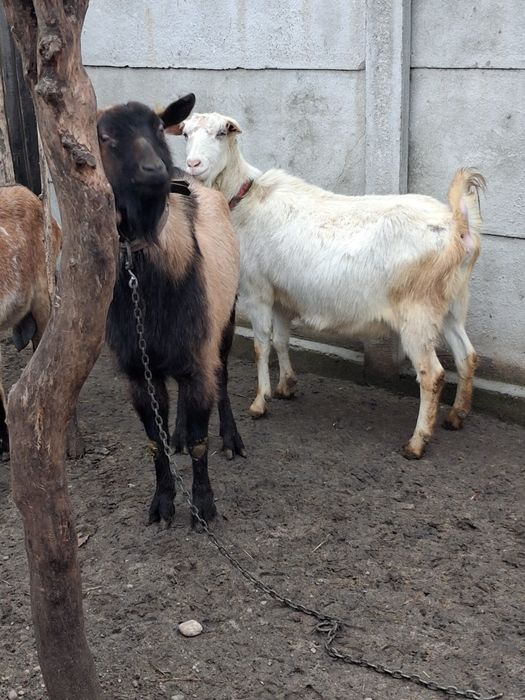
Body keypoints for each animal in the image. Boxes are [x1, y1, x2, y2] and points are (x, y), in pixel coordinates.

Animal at [97, 95, 245, 527]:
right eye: (105, 136)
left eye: (158, 128)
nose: (156, 172)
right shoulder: (136, 370)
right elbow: (153, 441)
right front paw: (162, 503)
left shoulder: (200, 356)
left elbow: (199, 442)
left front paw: (204, 508)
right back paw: (175, 432)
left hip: (225, 321)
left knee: (223, 377)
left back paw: (231, 438)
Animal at [175, 111, 484, 459]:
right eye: (185, 133)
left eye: (221, 133)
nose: (194, 164)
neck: (245, 201)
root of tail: (458, 226)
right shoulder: (282, 293)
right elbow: (282, 340)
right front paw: (286, 386)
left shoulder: (258, 291)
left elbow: (261, 345)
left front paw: (259, 402)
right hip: (451, 304)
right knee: (467, 355)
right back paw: (457, 416)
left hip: (417, 313)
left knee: (432, 374)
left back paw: (417, 442)